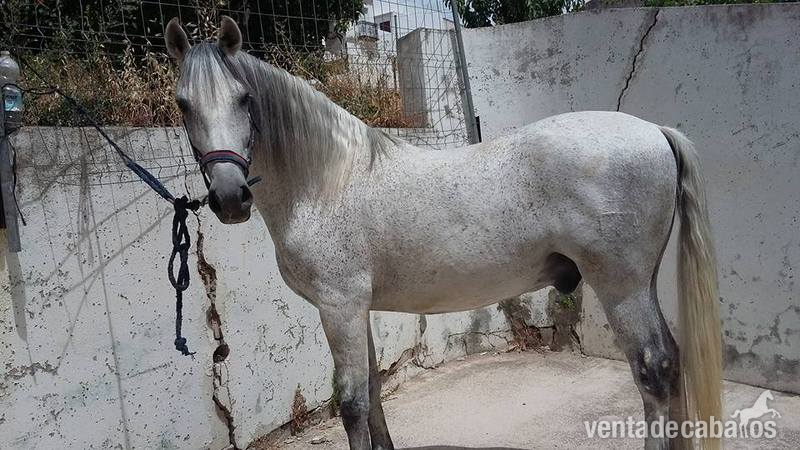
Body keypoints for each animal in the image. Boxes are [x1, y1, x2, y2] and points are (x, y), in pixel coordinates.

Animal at [165, 16, 722, 450]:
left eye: (244, 99)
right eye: (183, 105)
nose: (231, 197)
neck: (328, 181)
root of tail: (654, 131)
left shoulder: (338, 306)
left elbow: (351, 402)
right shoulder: (355, 310)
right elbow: (372, 393)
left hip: (622, 286)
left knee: (654, 369)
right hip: (641, 284)